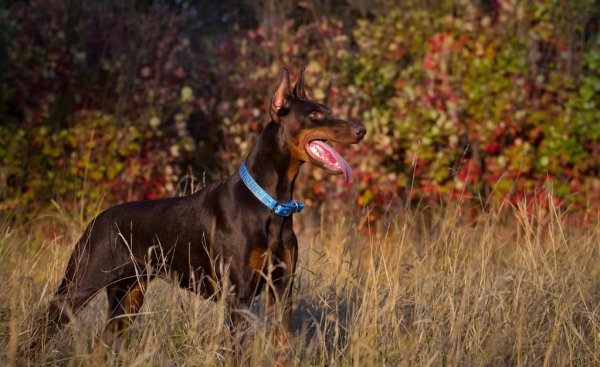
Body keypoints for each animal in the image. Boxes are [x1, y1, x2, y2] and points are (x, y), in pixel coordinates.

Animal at [30, 67, 366, 358]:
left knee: (102, 343)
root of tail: (97, 219)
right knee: (41, 329)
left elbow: (283, 345)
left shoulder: (282, 289)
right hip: (80, 285)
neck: (271, 202)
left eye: (327, 108)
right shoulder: (238, 296)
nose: (361, 129)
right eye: (315, 114)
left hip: (128, 297)